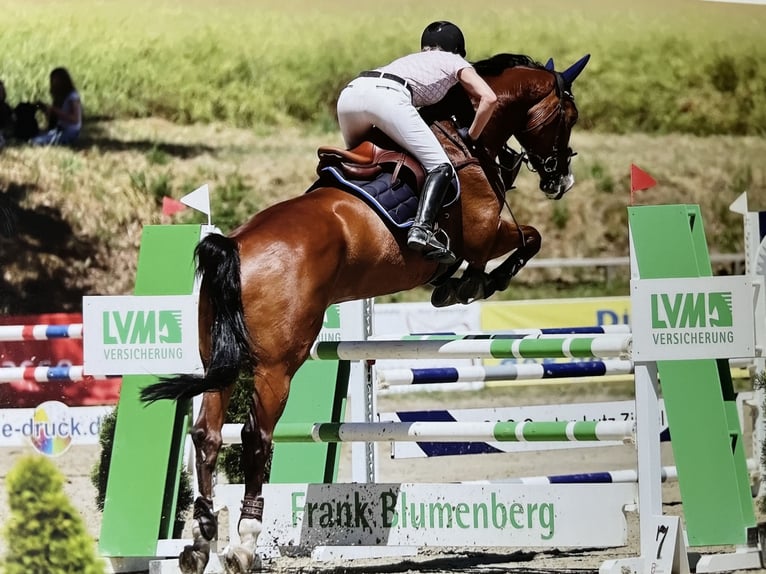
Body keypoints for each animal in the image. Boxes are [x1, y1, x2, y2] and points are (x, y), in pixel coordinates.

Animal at [141, 51, 592, 572]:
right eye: (568, 115)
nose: (561, 179)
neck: (466, 139)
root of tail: (231, 245)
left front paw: (458, 283)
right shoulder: (485, 232)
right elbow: (527, 239)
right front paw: (469, 284)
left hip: (220, 360)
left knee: (208, 435)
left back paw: (200, 543)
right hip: (276, 367)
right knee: (256, 436)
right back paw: (244, 543)